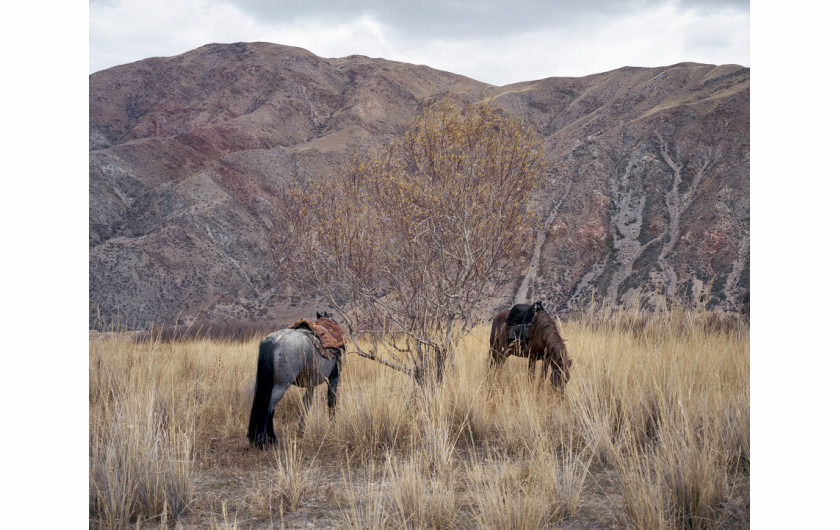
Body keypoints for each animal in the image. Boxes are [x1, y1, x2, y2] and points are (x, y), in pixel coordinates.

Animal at [246, 310, 344, 446]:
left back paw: (269, 439)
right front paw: (332, 424)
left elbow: (307, 402)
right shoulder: (334, 378)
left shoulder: (311, 383)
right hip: (280, 386)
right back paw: (264, 440)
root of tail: (274, 340)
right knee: (269, 408)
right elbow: (331, 400)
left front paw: (302, 428)